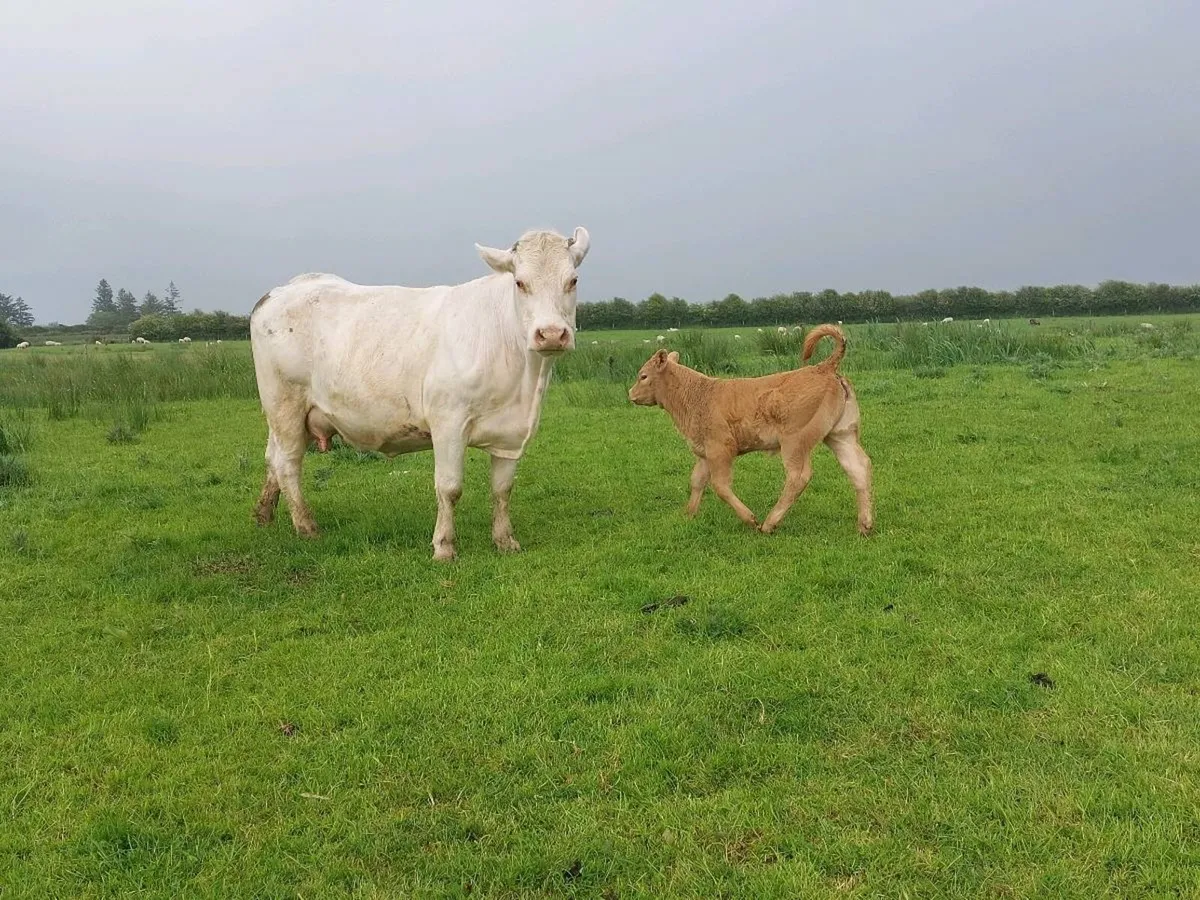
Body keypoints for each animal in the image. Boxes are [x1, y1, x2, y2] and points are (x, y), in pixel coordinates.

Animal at [250, 227, 591, 560]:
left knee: (272, 457)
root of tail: (282, 290)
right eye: (520, 282)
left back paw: (264, 514)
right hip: (285, 403)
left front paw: (505, 540)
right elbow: (450, 487)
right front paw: (444, 546)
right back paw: (305, 526)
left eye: (573, 280)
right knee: (288, 463)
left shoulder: (510, 433)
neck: (523, 382)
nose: (551, 334)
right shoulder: (449, 421)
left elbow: (502, 489)